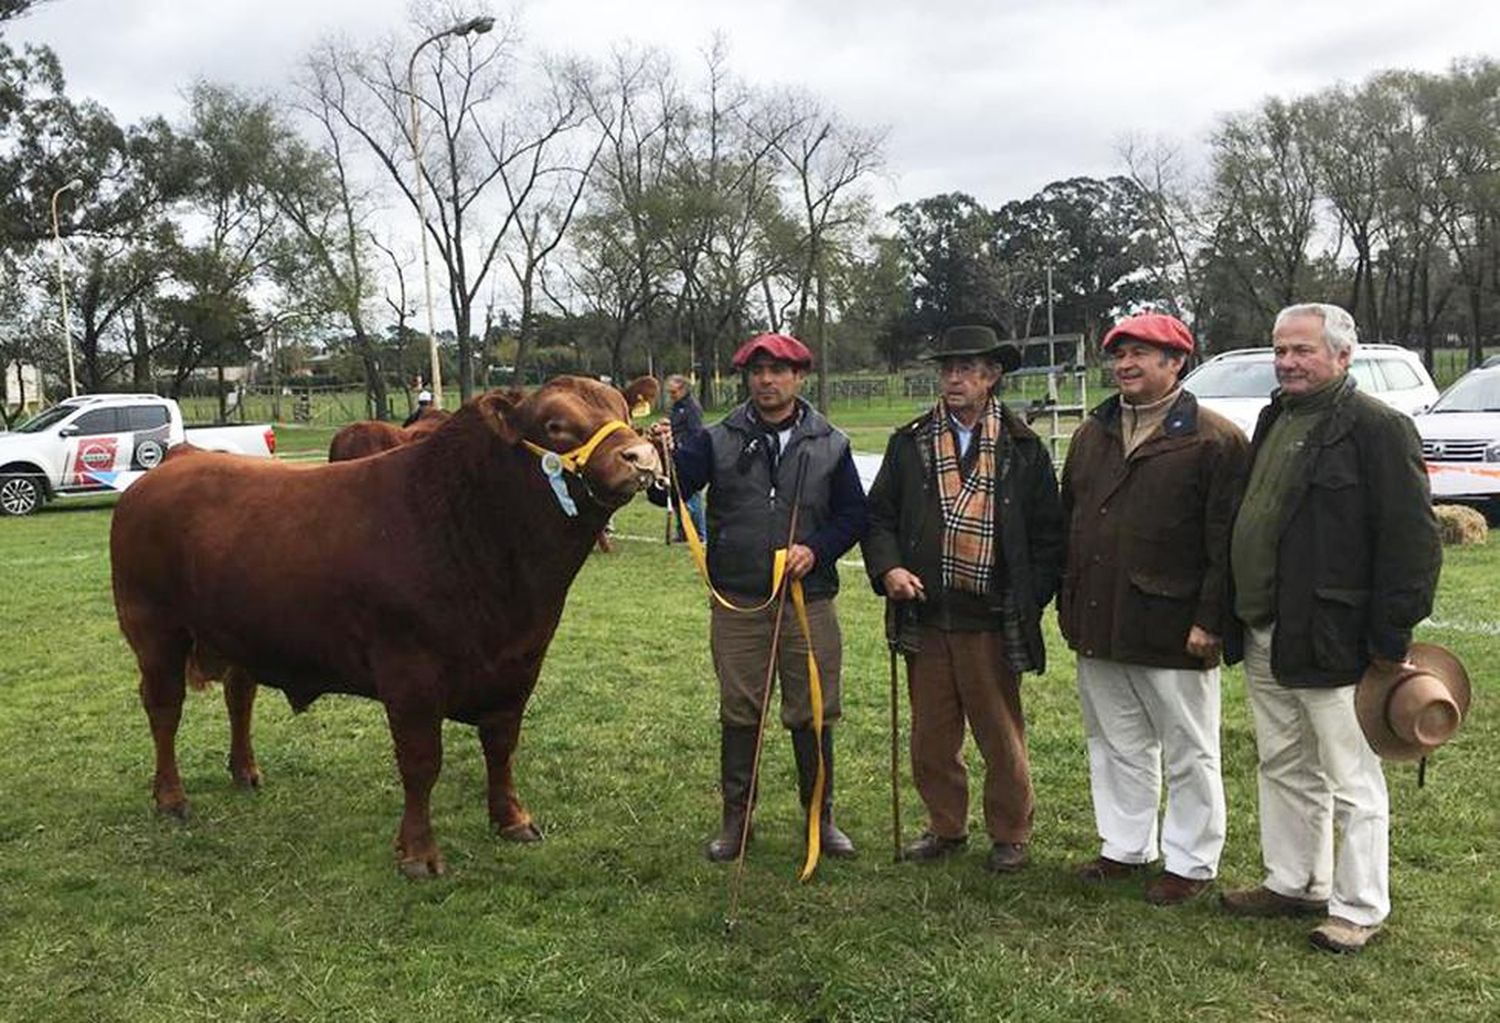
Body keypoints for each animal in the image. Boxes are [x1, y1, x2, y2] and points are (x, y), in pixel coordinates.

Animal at [111, 378, 663, 870]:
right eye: (555, 425)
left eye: (624, 411)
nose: (641, 457)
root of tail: (178, 460)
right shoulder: (409, 673)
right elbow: (421, 763)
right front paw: (418, 852)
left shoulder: (520, 663)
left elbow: (501, 747)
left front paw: (512, 819)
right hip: (154, 629)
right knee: (163, 708)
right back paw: (171, 798)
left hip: (239, 631)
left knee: (238, 695)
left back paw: (245, 771)